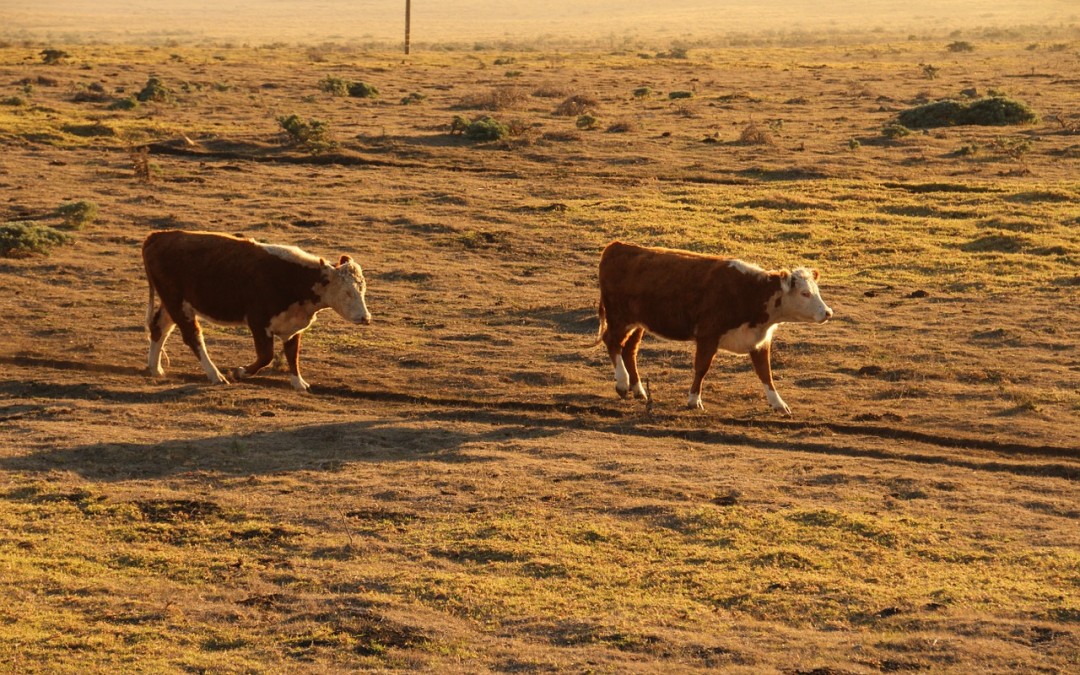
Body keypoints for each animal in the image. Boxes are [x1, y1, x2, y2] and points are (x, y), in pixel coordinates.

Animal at [596, 239, 829, 412]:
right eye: (805, 293)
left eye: (816, 291)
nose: (828, 312)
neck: (750, 292)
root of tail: (617, 246)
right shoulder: (708, 336)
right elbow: (701, 368)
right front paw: (694, 400)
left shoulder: (758, 341)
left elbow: (765, 373)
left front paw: (779, 404)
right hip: (619, 317)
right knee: (612, 342)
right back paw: (622, 383)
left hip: (638, 323)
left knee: (629, 350)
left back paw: (638, 390)